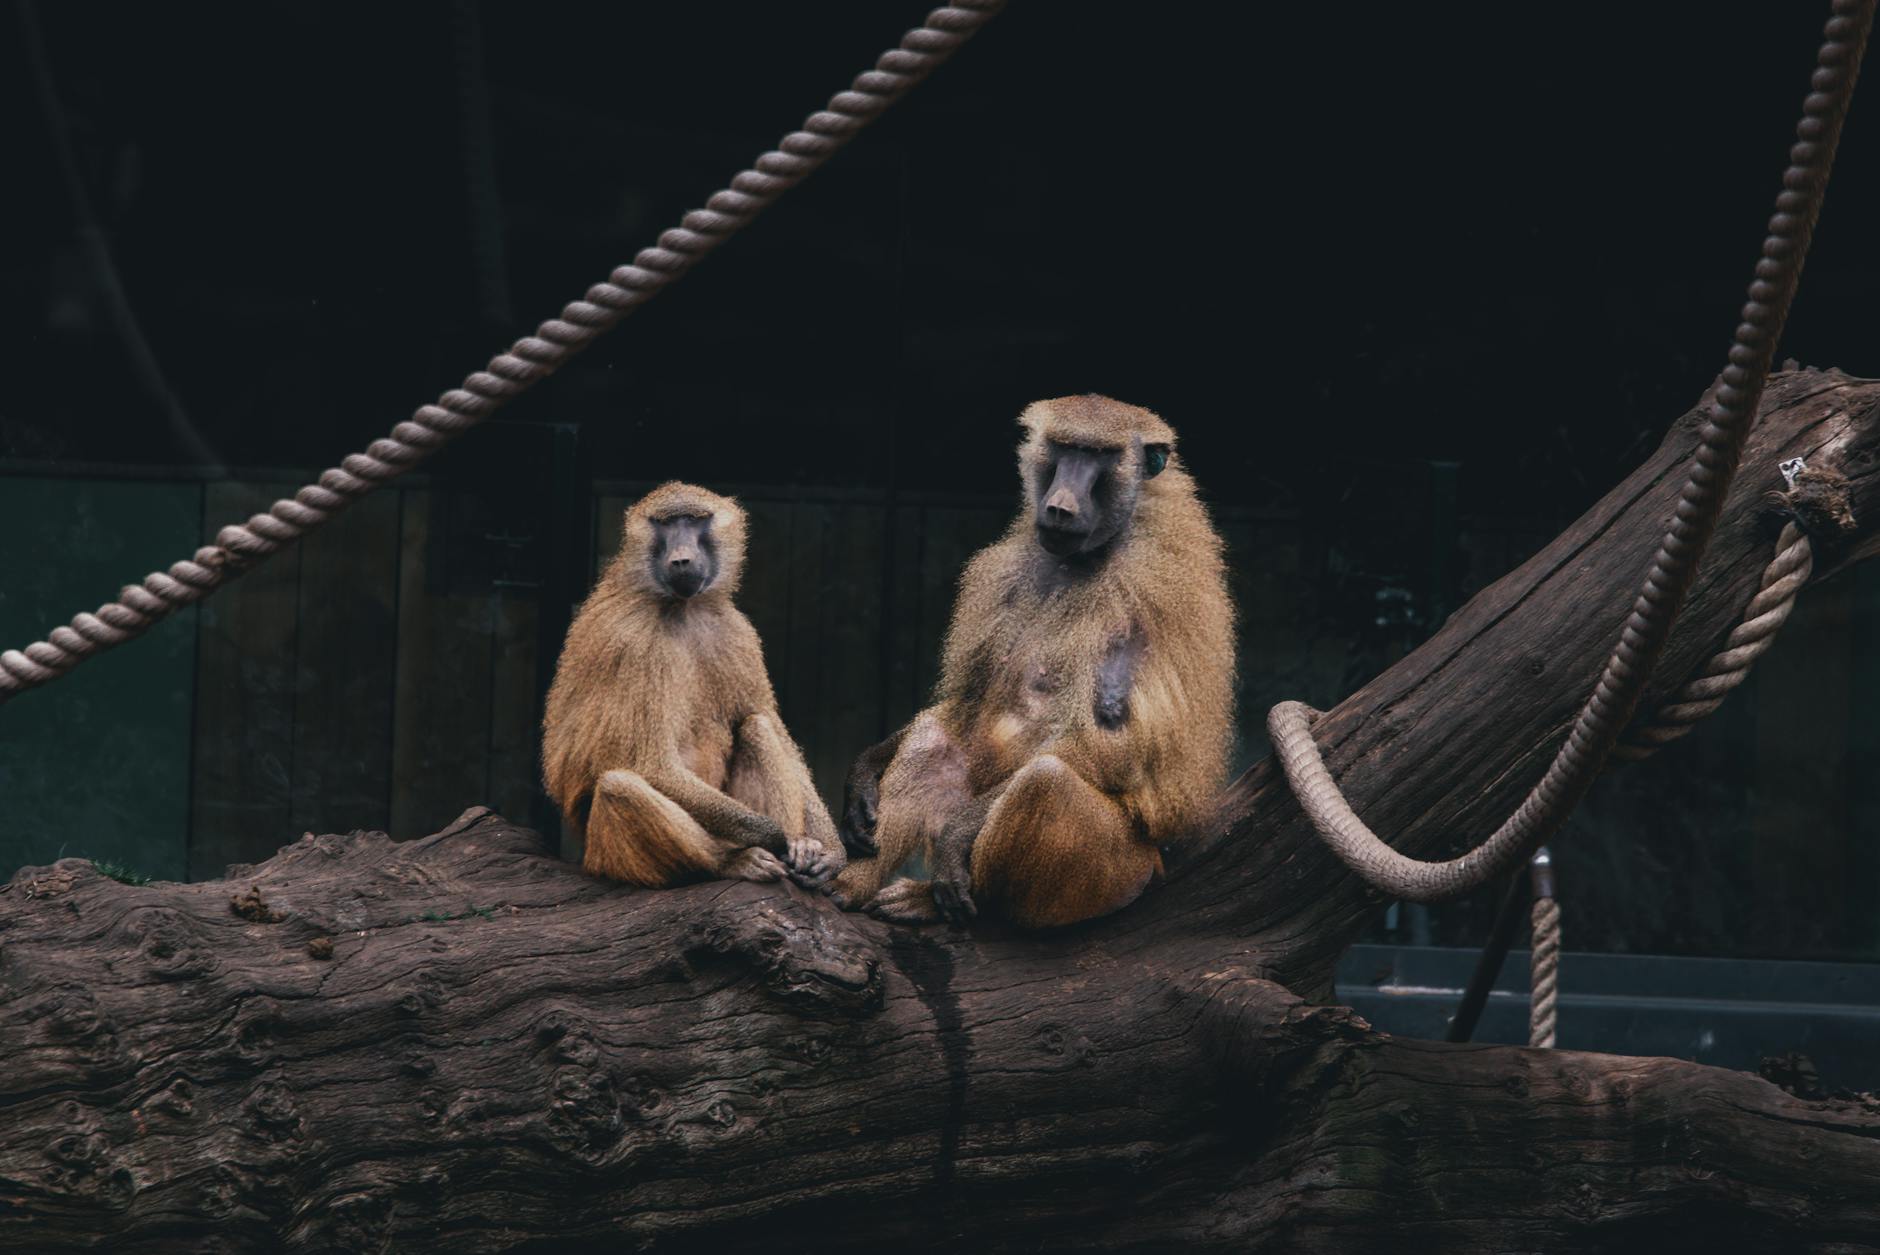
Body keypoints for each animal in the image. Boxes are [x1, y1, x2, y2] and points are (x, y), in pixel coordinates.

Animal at [541, 482, 844, 890]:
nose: (682, 560)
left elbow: (773, 730)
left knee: (756, 727)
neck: (682, 607)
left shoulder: (736, 632)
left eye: (695, 520)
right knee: (619, 786)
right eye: (666, 524)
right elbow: (652, 765)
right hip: (606, 852)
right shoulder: (636, 645)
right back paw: (730, 861)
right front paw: (777, 836)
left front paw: (825, 851)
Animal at [831, 395, 1235, 928]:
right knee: (934, 739)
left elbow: (1112, 744)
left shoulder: (1146, 590)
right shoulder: (1004, 573)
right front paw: (867, 769)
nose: (1060, 507)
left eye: (1097, 456)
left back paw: (948, 901)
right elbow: (964, 704)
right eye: (1064, 449)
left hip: (1118, 873)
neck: (1085, 559)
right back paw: (845, 888)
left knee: (1046, 783)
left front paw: (955, 840)